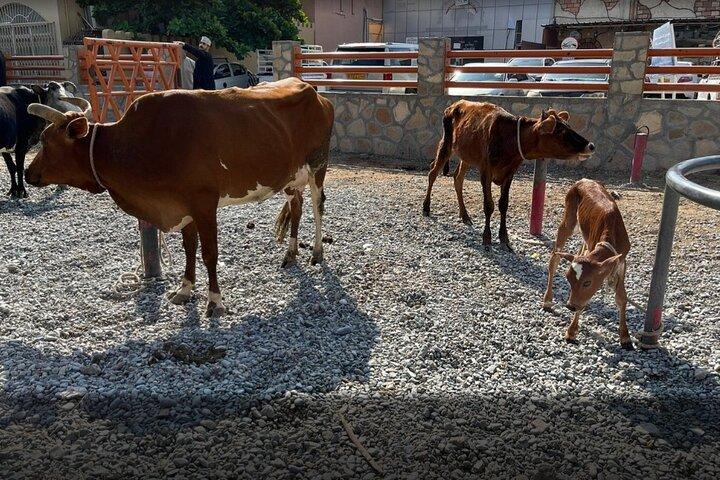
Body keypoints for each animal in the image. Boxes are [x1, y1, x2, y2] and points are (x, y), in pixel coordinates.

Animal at [25, 77, 334, 317]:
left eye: (45, 141)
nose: (28, 173)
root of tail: (314, 92)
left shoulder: (204, 203)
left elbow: (209, 253)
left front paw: (215, 302)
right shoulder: (182, 205)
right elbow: (189, 249)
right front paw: (185, 289)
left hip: (318, 166)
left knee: (317, 207)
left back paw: (317, 252)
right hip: (290, 176)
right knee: (297, 207)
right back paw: (290, 253)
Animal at [423, 101, 595, 251]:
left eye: (569, 126)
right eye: (560, 131)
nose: (591, 145)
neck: (509, 139)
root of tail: (455, 104)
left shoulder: (510, 172)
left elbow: (503, 204)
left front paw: (504, 239)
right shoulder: (486, 170)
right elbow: (489, 205)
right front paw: (487, 239)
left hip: (466, 155)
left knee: (458, 178)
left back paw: (465, 216)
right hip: (446, 143)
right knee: (433, 172)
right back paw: (426, 207)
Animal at [542, 179, 632, 350]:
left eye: (587, 282)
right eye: (568, 280)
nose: (570, 306)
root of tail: (583, 180)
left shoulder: (621, 261)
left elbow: (621, 297)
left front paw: (625, 337)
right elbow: (583, 303)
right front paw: (571, 331)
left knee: (577, 252)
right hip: (568, 220)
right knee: (554, 259)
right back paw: (547, 300)